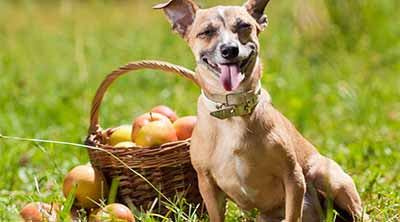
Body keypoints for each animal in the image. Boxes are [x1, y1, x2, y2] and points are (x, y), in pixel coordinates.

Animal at [155, 0, 366, 221]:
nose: (229, 49)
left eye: (244, 26)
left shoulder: (293, 176)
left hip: (325, 174)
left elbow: (293, 214)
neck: (234, 110)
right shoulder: (206, 183)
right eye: (206, 32)